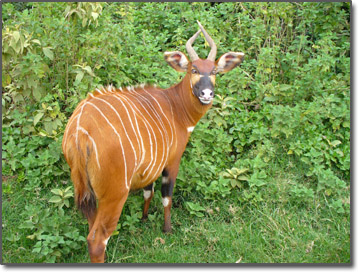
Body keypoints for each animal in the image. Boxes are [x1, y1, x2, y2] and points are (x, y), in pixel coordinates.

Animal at [63, 21, 245, 262]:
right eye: (194, 70)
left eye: (214, 71)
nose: (207, 94)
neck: (176, 106)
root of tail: (79, 133)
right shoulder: (172, 161)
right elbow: (167, 196)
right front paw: (167, 230)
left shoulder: (150, 166)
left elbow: (148, 192)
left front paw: (144, 219)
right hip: (115, 193)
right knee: (97, 240)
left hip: (88, 191)